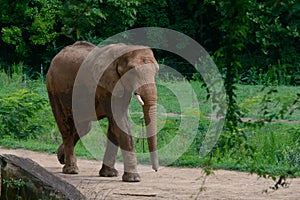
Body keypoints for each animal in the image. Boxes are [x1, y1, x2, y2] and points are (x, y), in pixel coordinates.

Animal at [45, 41, 158, 182]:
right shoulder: (106, 85)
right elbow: (119, 120)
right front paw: (133, 179)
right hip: (53, 88)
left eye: (156, 71)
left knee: (83, 127)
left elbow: (115, 124)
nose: (155, 170)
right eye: (132, 72)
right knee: (64, 124)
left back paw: (61, 158)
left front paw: (109, 174)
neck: (123, 51)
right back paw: (71, 170)